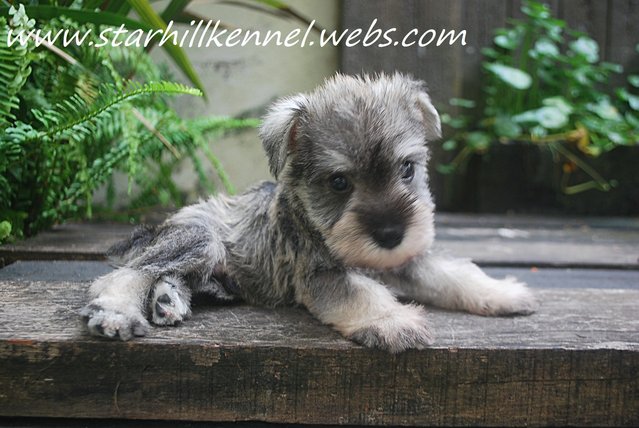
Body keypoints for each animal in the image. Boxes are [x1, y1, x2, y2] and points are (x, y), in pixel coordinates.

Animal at [81, 73, 540, 352]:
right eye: (339, 182)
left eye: (407, 169)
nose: (391, 234)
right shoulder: (320, 274)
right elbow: (362, 292)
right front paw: (393, 321)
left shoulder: (405, 260)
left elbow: (452, 272)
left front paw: (502, 292)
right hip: (200, 237)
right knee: (126, 274)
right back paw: (119, 314)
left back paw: (167, 299)